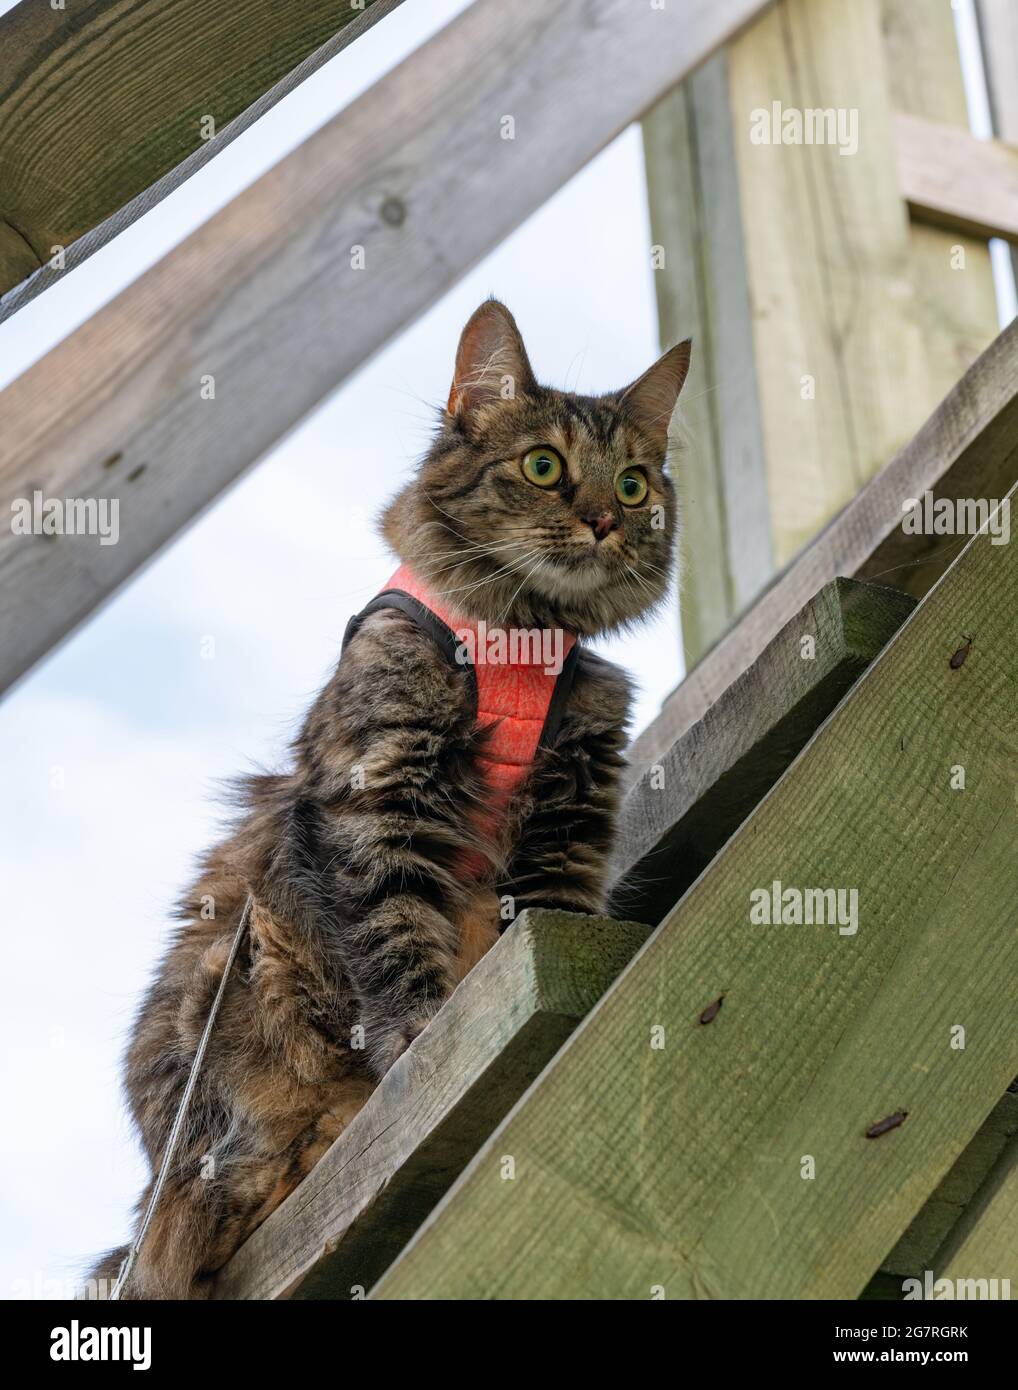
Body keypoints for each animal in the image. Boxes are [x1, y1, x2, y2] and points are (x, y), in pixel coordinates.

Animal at [89, 298, 692, 1295]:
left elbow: (553, 912)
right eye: (544, 467)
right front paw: (425, 1036)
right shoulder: (377, 801)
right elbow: (398, 941)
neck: (523, 636)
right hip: (246, 964)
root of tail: (154, 1183)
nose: (607, 519)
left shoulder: (569, 811)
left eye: (638, 484)